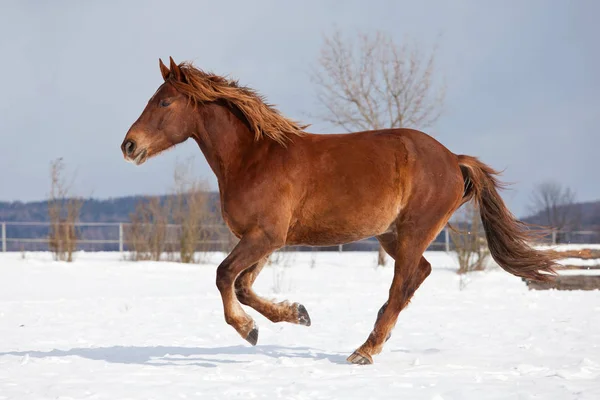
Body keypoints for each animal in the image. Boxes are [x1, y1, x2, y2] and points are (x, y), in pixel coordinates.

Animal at [120, 57, 556, 366]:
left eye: (165, 101)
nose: (129, 145)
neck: (253, 157)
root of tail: (453, 159)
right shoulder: (264, 240)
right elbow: (243, 285)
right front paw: (297, 314)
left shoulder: (266, 236)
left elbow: (225, 275)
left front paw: (248, 330)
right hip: (391, 234)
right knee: (420, 274)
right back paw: (379, 336)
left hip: (413, 232)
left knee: (402, 284)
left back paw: (365, 349)